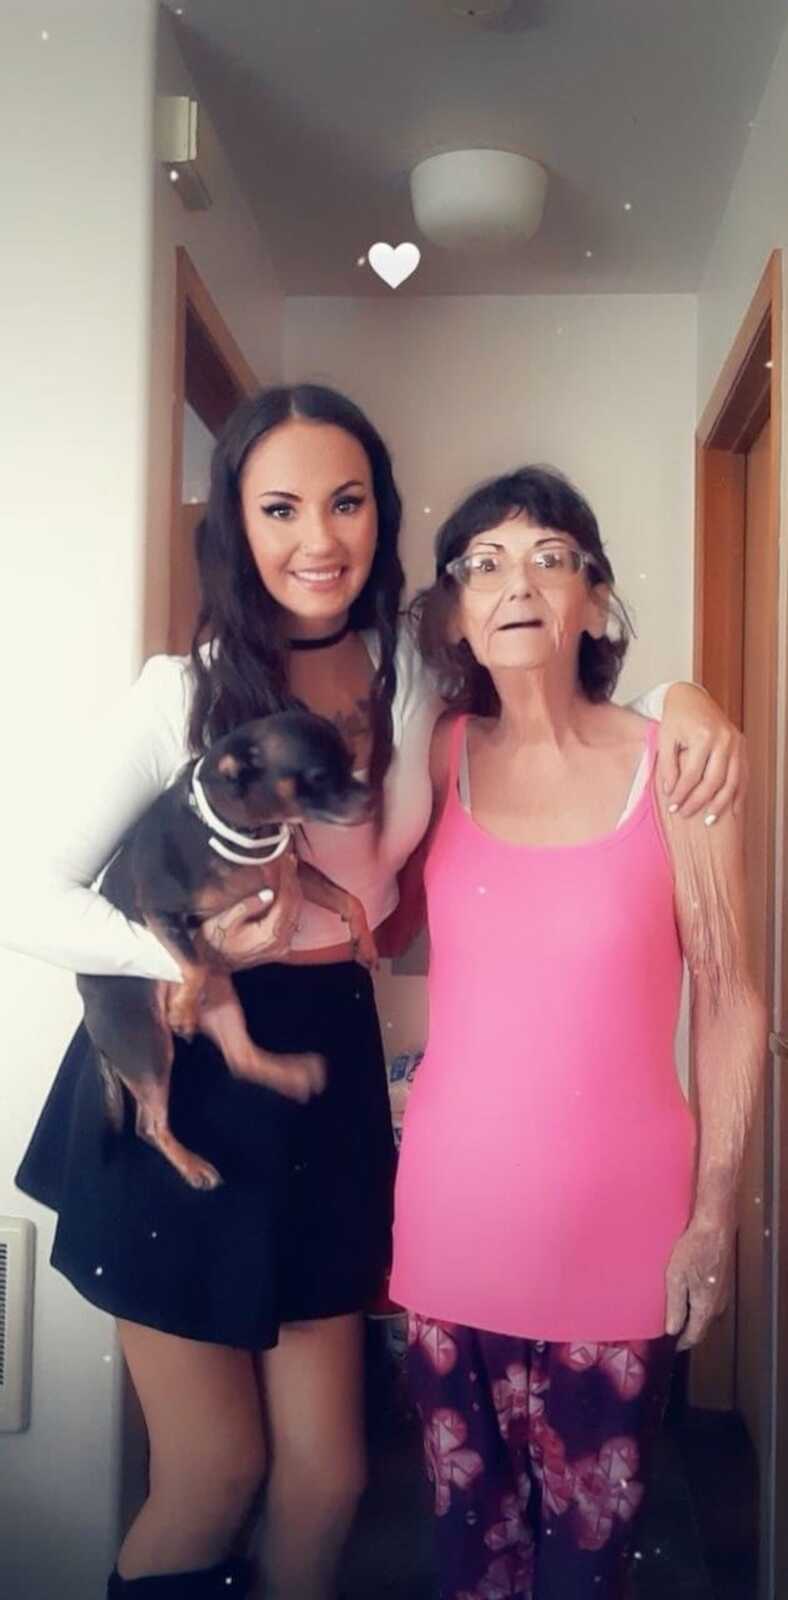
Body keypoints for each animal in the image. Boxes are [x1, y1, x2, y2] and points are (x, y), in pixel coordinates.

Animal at [80, 713, 377, 1190]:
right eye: (318, 776)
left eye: (351, 761)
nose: (372, 800)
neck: (241, 831)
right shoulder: (162, 913)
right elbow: (194, 963)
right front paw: (182, 1010)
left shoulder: (294, 874)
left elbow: (348, 899)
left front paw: (364, 942)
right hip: (146, 1042)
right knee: (149, 1124)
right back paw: (192, 1165)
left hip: (222, 1005)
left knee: (242, 1059)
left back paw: (294, 1074)